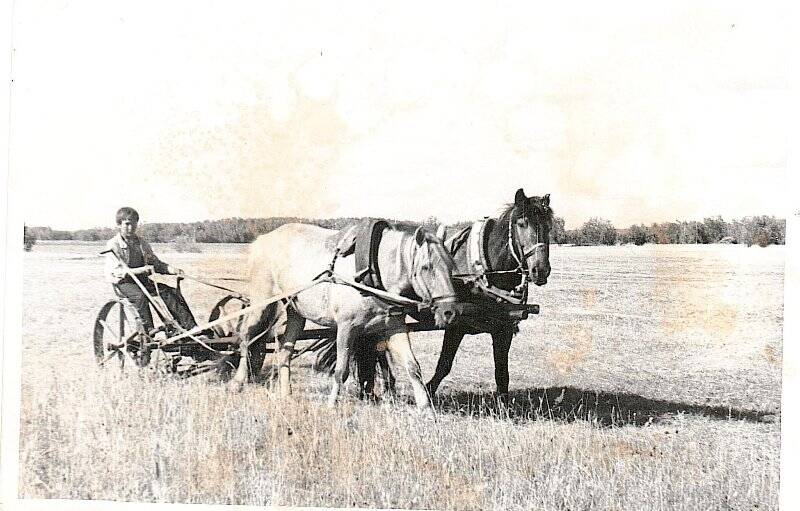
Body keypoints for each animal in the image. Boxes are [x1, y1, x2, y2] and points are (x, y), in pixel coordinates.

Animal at [316, 189, 552, 400]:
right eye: (522, 223)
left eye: (549, 227)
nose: (540, 270)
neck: (483, 273)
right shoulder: (455, 326)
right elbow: (444, 365)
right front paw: (428, 391)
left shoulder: (504, 329)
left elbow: (502, 373)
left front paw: (503, 406)